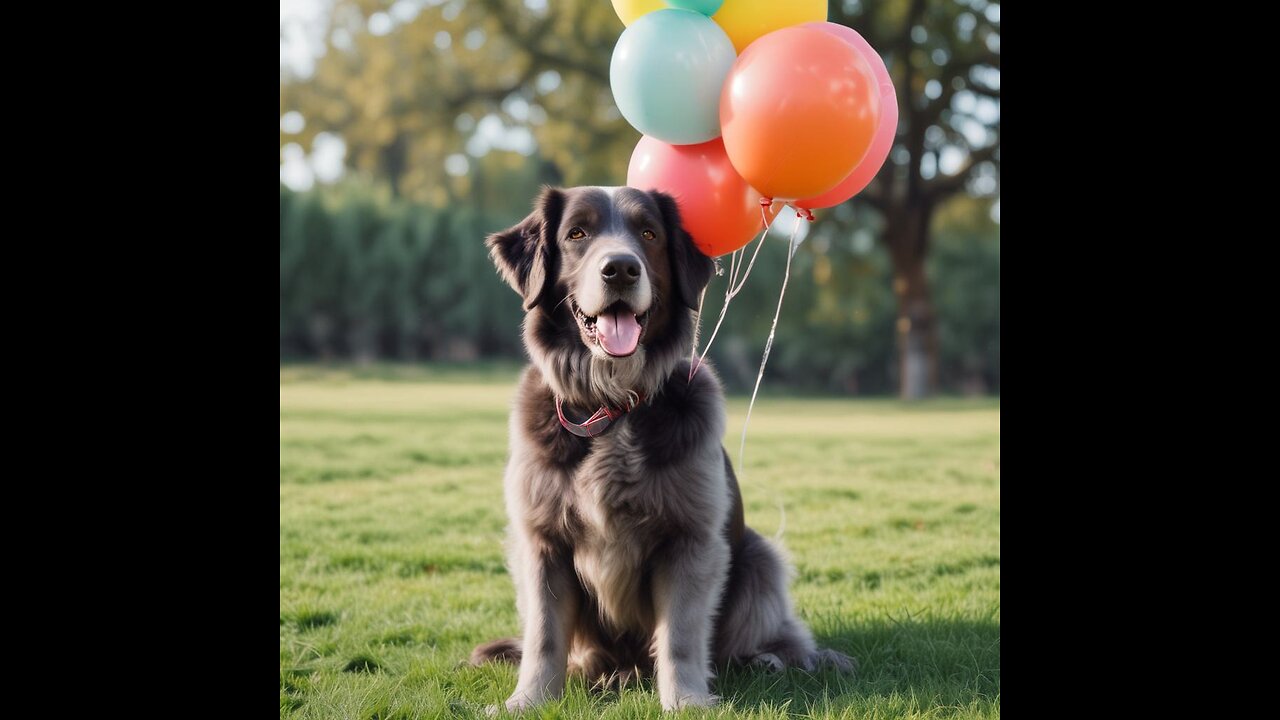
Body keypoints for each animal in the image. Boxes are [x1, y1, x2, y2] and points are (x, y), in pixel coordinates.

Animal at [471, 188, 849, 707]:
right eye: (577, 233)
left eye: (649, 233)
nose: (621, 269)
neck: (614, 403)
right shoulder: (542, 542)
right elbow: (545, 636)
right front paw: (529, 701)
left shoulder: (690, 540)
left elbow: (681, 635)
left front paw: (686, 701)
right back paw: (605, 675)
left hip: (758, 557)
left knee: (772, 636)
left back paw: (775, 659)